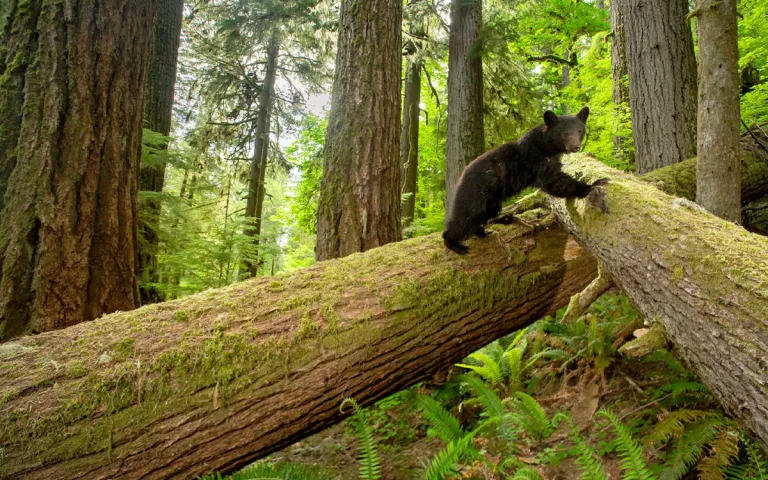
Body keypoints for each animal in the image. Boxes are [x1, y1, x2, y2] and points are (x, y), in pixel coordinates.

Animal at [444, 106, 608, 255]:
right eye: (564, 133)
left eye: (579, 131)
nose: (575, 147)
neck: (546, 145)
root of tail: (460, 178)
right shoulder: (535, 160)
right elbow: (553, 181)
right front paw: (593, 184)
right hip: (476, 192)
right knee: (467, 216)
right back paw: (454, 243)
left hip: (492, 201)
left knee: (483, 215)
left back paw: (482, 232)